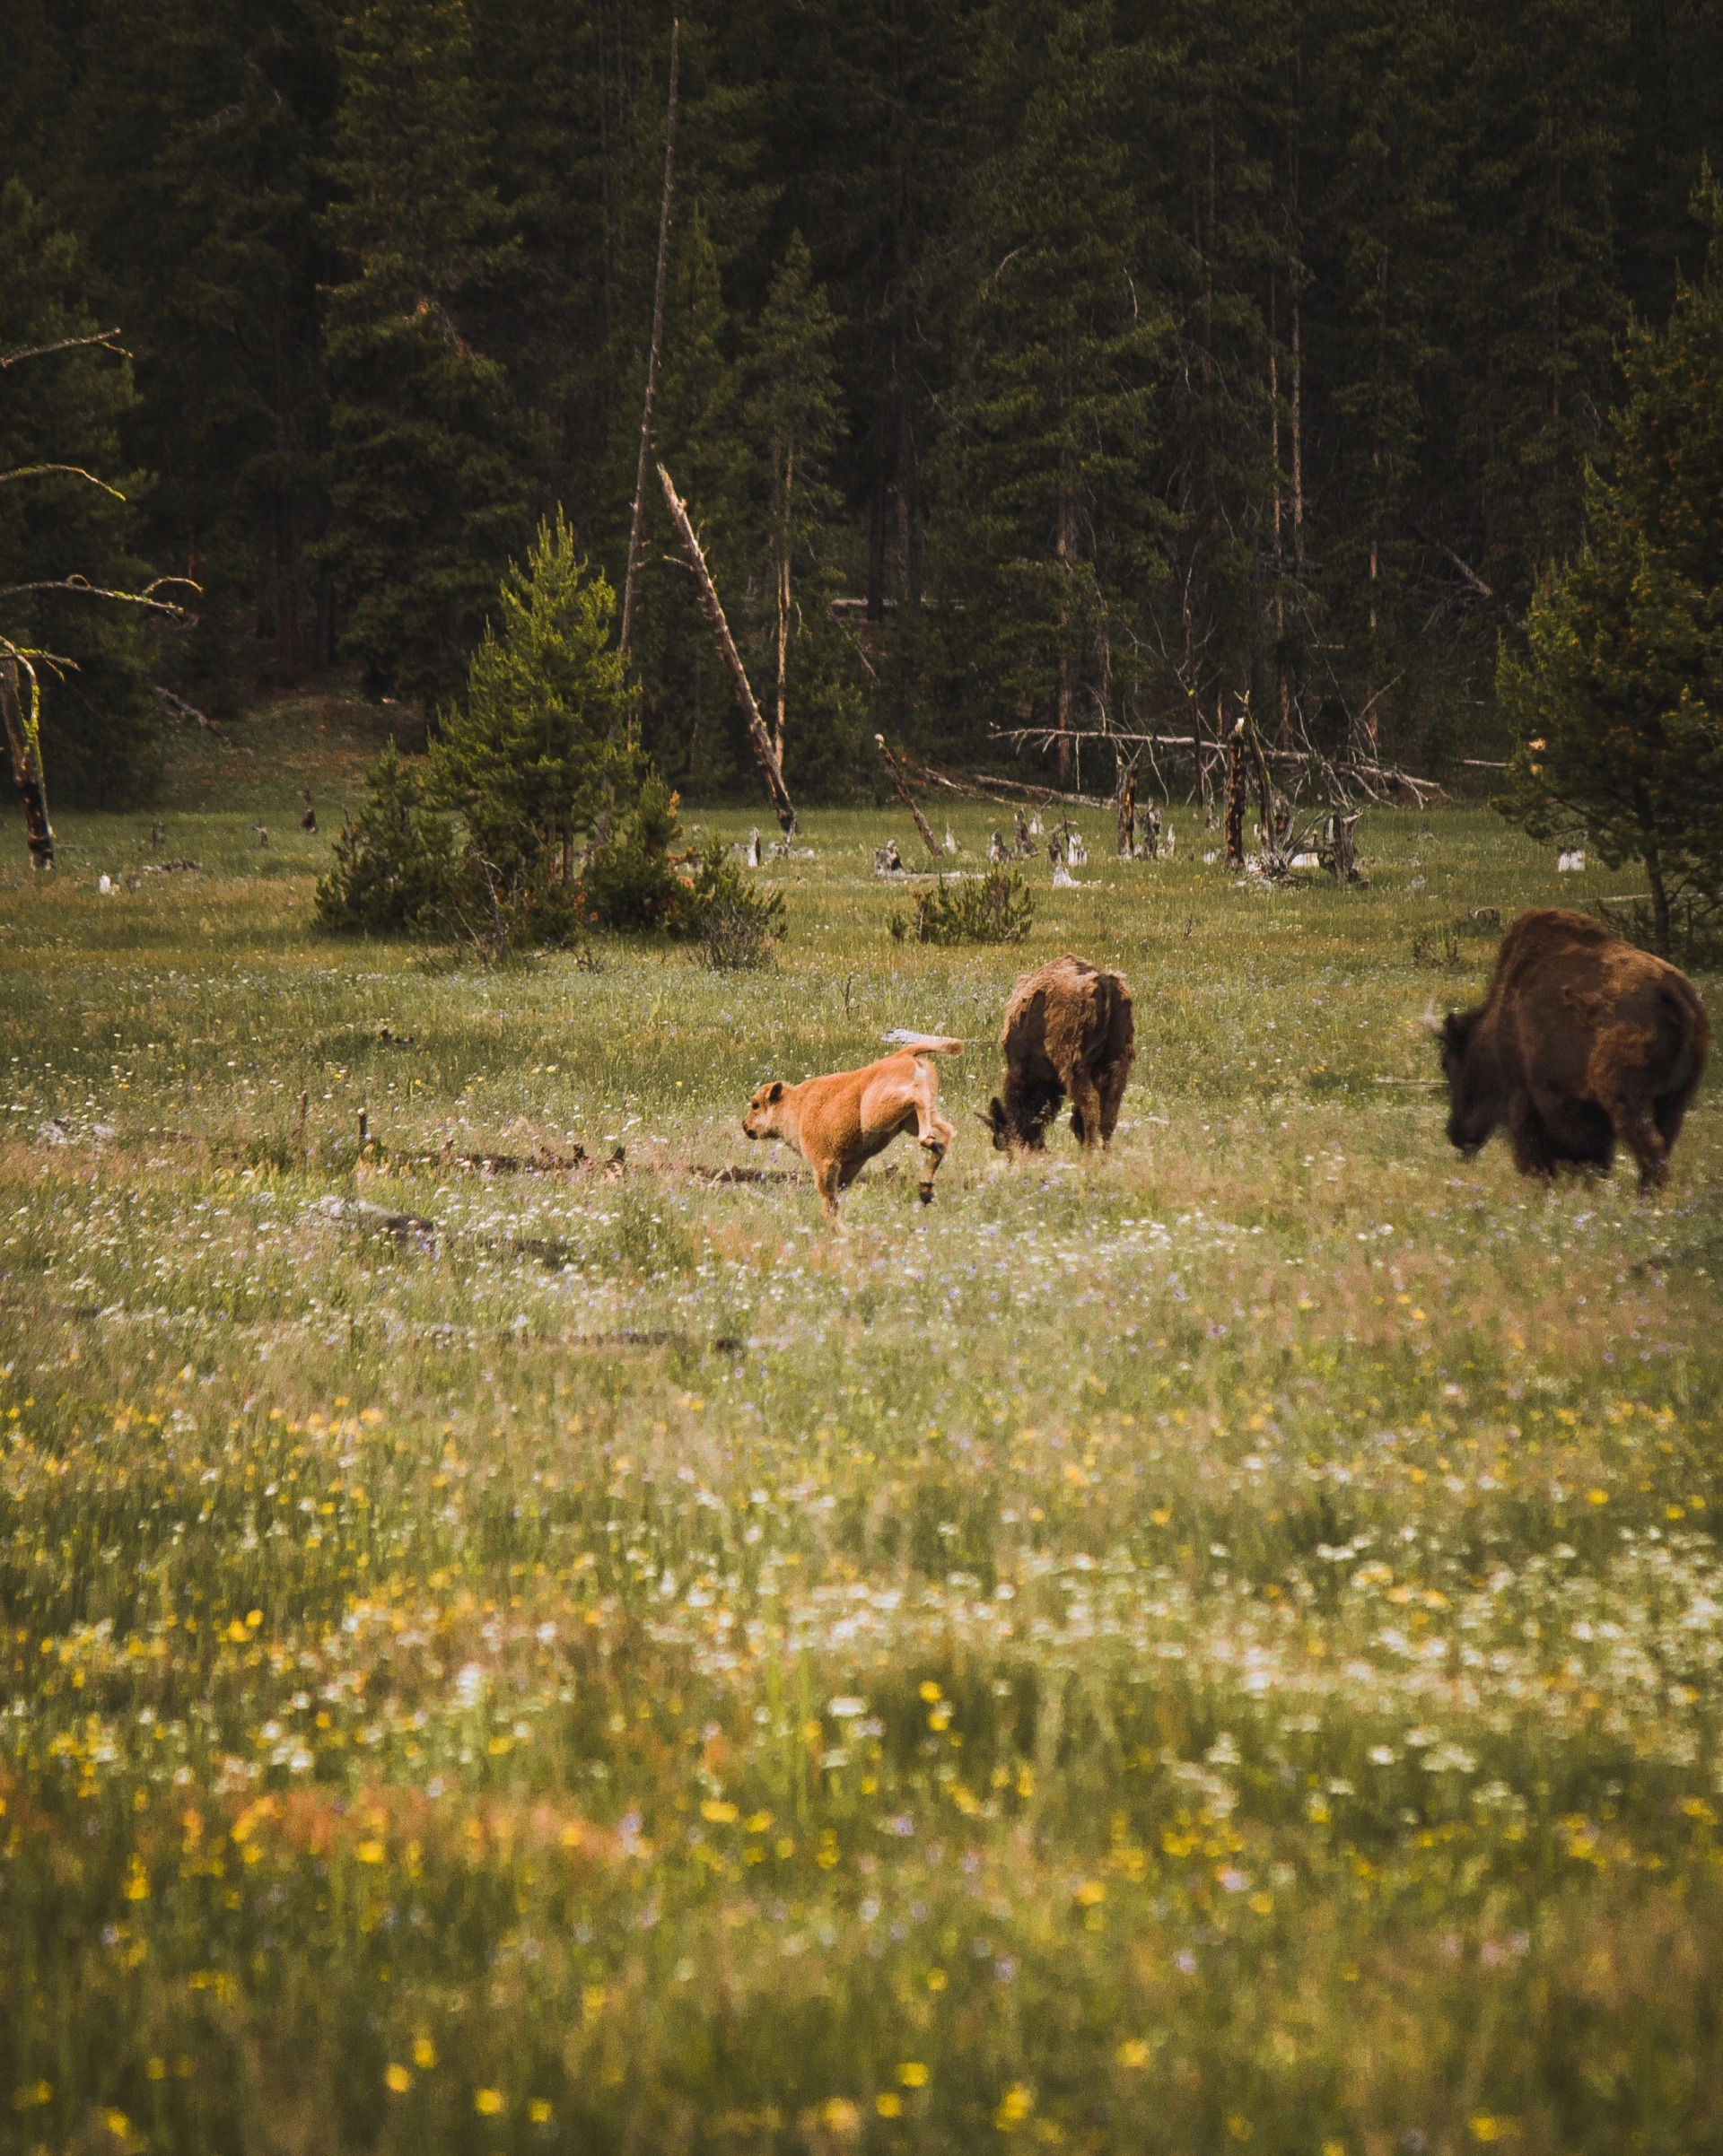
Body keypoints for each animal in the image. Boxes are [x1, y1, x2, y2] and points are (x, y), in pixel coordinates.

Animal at [978, 956, 1138, 1156]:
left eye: (1003, 1137)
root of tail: (1102, 981)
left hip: (1075, 1069)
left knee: (1090, 1108)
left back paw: (1089, 1156)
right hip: (1118, 1064)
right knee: (1108, 1115)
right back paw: (1104, 1157)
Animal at [1431, 901, 1708, 1190]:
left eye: (1448, 1064)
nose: (1456, 1134)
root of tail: (1671, 989)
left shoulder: (1524, 1096)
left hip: (1629, 1100)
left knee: (1649, 1149)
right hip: (1675, 1101)